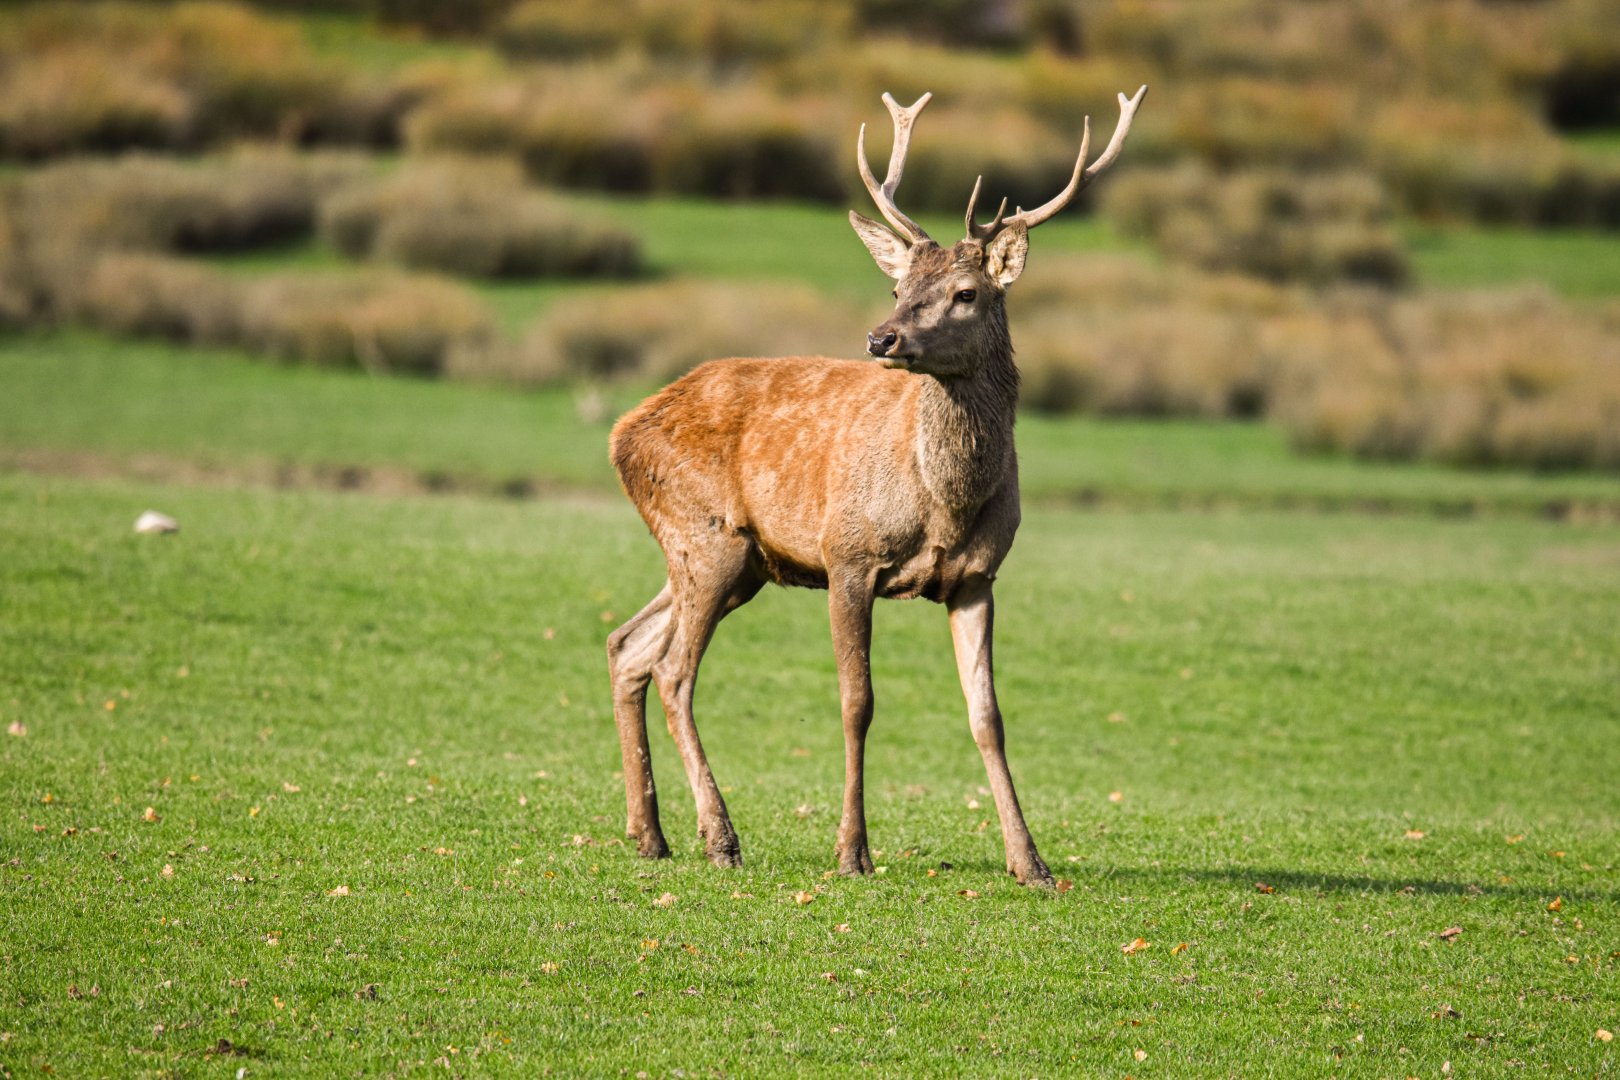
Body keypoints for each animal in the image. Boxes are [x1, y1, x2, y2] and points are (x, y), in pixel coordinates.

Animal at [607, 84, 1147, 887]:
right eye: (898, 284)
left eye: (964, 292)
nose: (881, 337)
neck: (944, 504)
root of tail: (622, 431)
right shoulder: (849, 556)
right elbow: (856, 701)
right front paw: (852, 851)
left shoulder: (977, 577)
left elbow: (988, 718)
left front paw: (1031, 862)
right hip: (708, 537)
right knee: (673, 670)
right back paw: (720, 838)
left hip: (731, 559)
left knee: (629, 646)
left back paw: (651, 834)